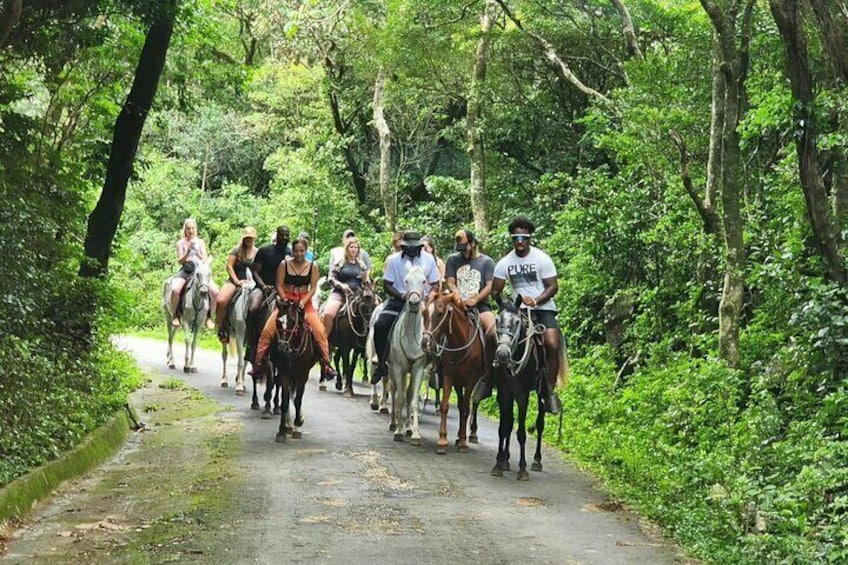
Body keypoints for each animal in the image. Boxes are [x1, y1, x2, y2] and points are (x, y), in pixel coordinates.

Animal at [268, 298, 318, 442]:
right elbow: (285, 401)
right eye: (278, 322)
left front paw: (298, 426)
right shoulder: (285, 373)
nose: (282, 348)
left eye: (291, 322)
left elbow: (298, 400)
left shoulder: (303, 375)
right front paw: (282, 431)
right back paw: (289, 424)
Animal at [424, 290, 490, 454]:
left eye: (440, 313)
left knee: (472, 403)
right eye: (424, 313)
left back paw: (468, 436)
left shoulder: (471, 380)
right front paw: (442, 440)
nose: (425, 343)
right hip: (458, 383)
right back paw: (459, 437)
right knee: (460, 404)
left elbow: (466, 409)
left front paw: (463, 444)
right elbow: (445, 406)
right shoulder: (449, 376)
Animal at [490, 298, 548, 478]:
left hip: (541, 392)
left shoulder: (523, 395)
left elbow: (521, 432)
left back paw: (537, 461)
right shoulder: (504, 392)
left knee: (540, 423)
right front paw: (499, 464)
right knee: (509, 423)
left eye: (516, 322)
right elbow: (504, 427)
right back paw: (506, 459)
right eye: (497, 320)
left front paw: (522, 469)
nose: (502, 354)